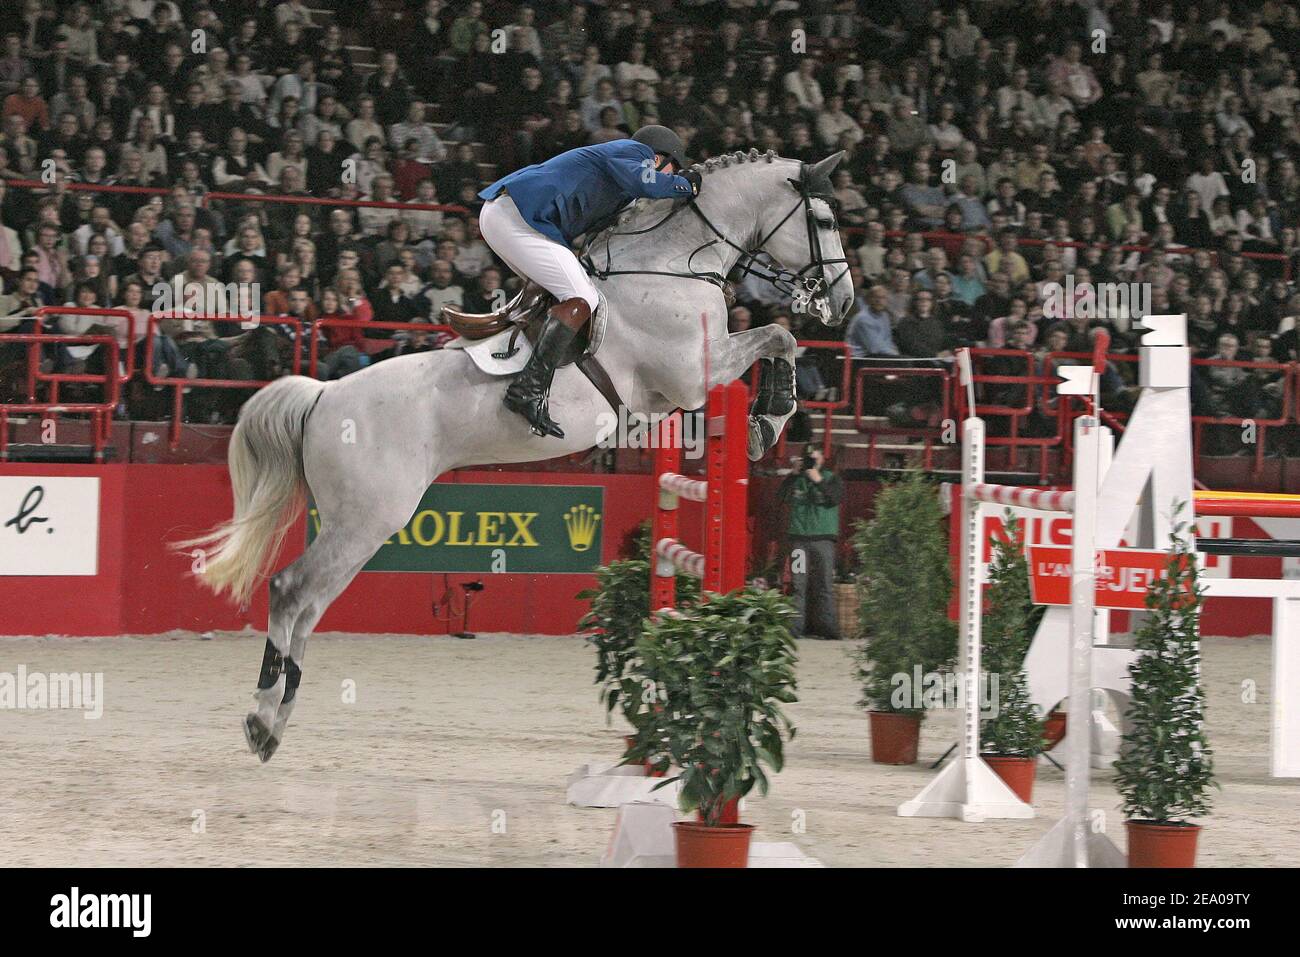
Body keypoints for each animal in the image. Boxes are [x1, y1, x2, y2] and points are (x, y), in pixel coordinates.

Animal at [183, 149, 852, 759]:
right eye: (823, 217)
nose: (842, 303)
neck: (671, 267)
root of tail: (323, 396)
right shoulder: (692, 376)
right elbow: (779, 335)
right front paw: (771, 418)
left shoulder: (674, 395)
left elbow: (777, 337)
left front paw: (769, 415)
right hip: (366, 519)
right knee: (291, 590)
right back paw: (263, 718)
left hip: (362, 525)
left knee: (310, 603)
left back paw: (278, 717)